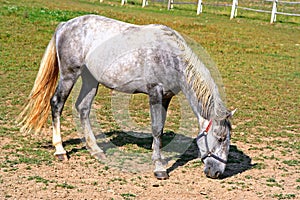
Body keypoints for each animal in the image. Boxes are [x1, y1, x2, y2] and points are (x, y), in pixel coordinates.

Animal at [18, 14, 236, 180]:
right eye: (220, 138)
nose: (217, 173)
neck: (170, 57)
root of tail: (66, 25)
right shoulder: (155, 93)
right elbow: (156, 129)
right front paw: (159, 168)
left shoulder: (166, 97)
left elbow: (160, 130)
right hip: (69, 75)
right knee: (57, 104)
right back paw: (60, 151)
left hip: (90, 80)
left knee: (83, 108)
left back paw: (95, 149)